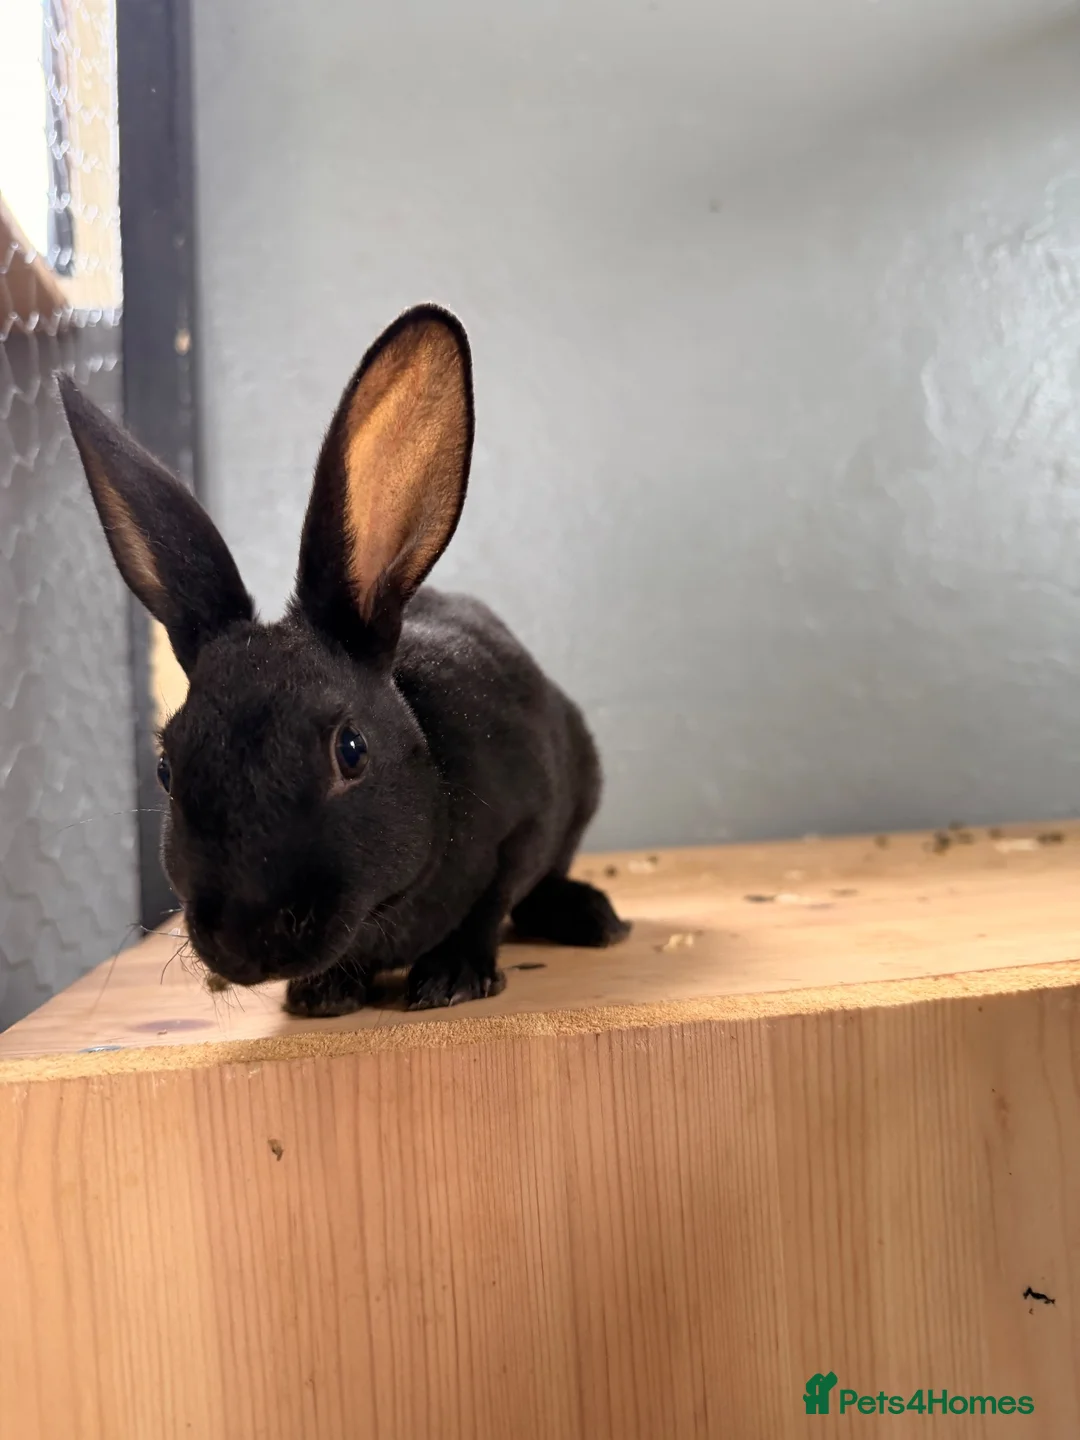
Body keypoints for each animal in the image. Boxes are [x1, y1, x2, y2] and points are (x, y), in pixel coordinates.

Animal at [58, 304, 631, 1016]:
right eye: (166, 769)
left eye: (350, 751)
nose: (246, 944)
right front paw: (322, 994)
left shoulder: (529, 815)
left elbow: (492, 899)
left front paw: (451, 978)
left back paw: (593, 918)